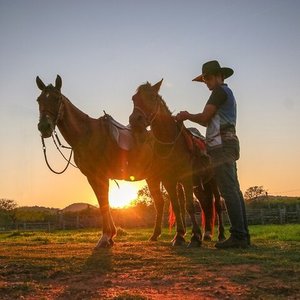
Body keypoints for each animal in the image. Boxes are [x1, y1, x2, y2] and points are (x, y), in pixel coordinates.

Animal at [129, 81, 225, 243]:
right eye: (134, 99)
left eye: (153, 97)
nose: (135, 120)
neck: (170, 142)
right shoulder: (169, 180)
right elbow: (176, 205)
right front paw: (179, 235)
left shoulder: (185, 178)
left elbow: (189, 206)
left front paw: (194, 236)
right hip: (198, 185)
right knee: (205, 205)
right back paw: (206, 234)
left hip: (213, 180)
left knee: (217, 204)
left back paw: (221, 234)